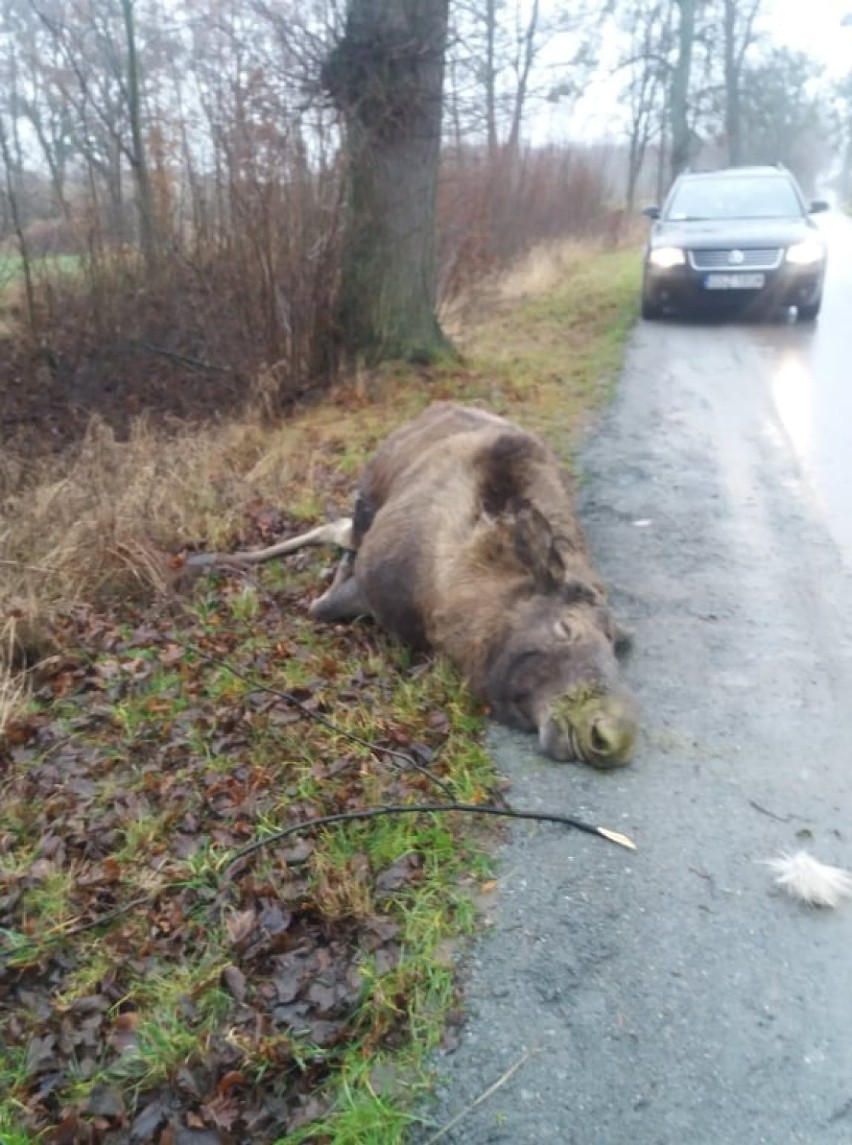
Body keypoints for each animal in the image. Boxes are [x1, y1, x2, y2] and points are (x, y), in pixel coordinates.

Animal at [194, 403, 641, 769]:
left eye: (612, 645)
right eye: (565, 628)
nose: (612, 735)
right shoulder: (369, 584)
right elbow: (321, 598)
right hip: (367, 499)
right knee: (341, 528)